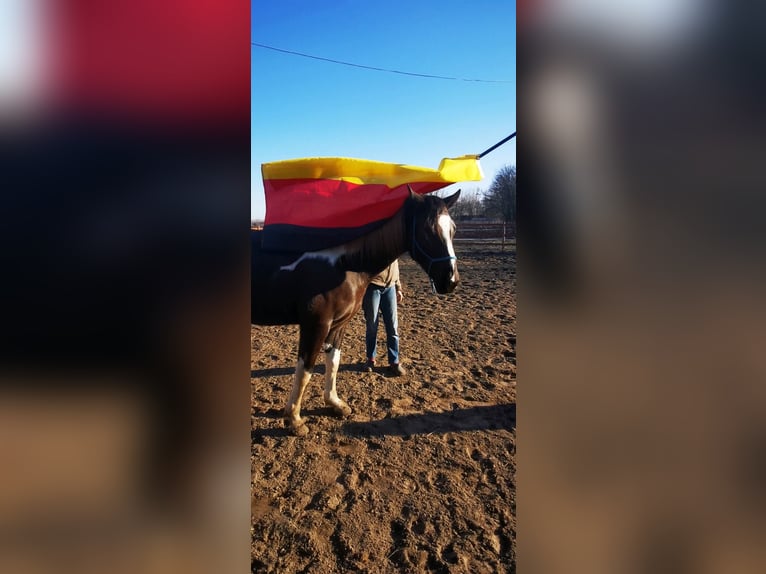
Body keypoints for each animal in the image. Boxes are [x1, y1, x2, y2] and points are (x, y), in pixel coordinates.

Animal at [251, 187, 461, 435]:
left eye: (453, 229)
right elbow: (305, 370)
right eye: (427, 230)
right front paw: (294, 419)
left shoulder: (338, 324)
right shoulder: (315, 325)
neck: (344, 263)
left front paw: (335, 404)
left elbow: (333, 362)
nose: (450, 280)